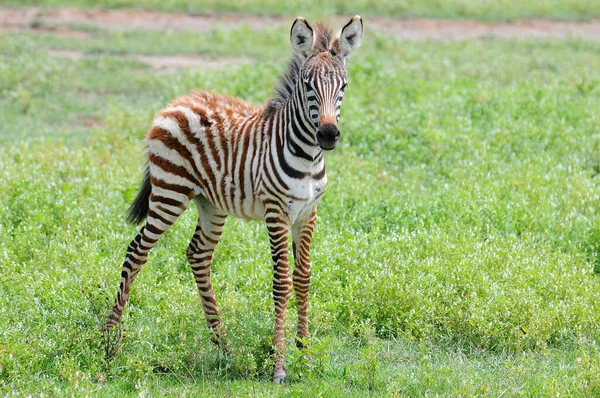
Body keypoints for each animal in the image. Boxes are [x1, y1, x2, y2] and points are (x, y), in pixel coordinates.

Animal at [105, 15, 364, 382]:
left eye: (343, 86)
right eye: (308, 86)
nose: (328, 135)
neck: (308, 156)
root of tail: (177, 101)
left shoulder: (308, 213)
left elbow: (303, 278)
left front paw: (307, 355)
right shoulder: (276, 212)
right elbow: (282, 282)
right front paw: (279, 366)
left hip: (210, 204)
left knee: (198, 254)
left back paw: (223, 345)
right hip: (170, 193)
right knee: (136, 251)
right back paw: (109, 341)